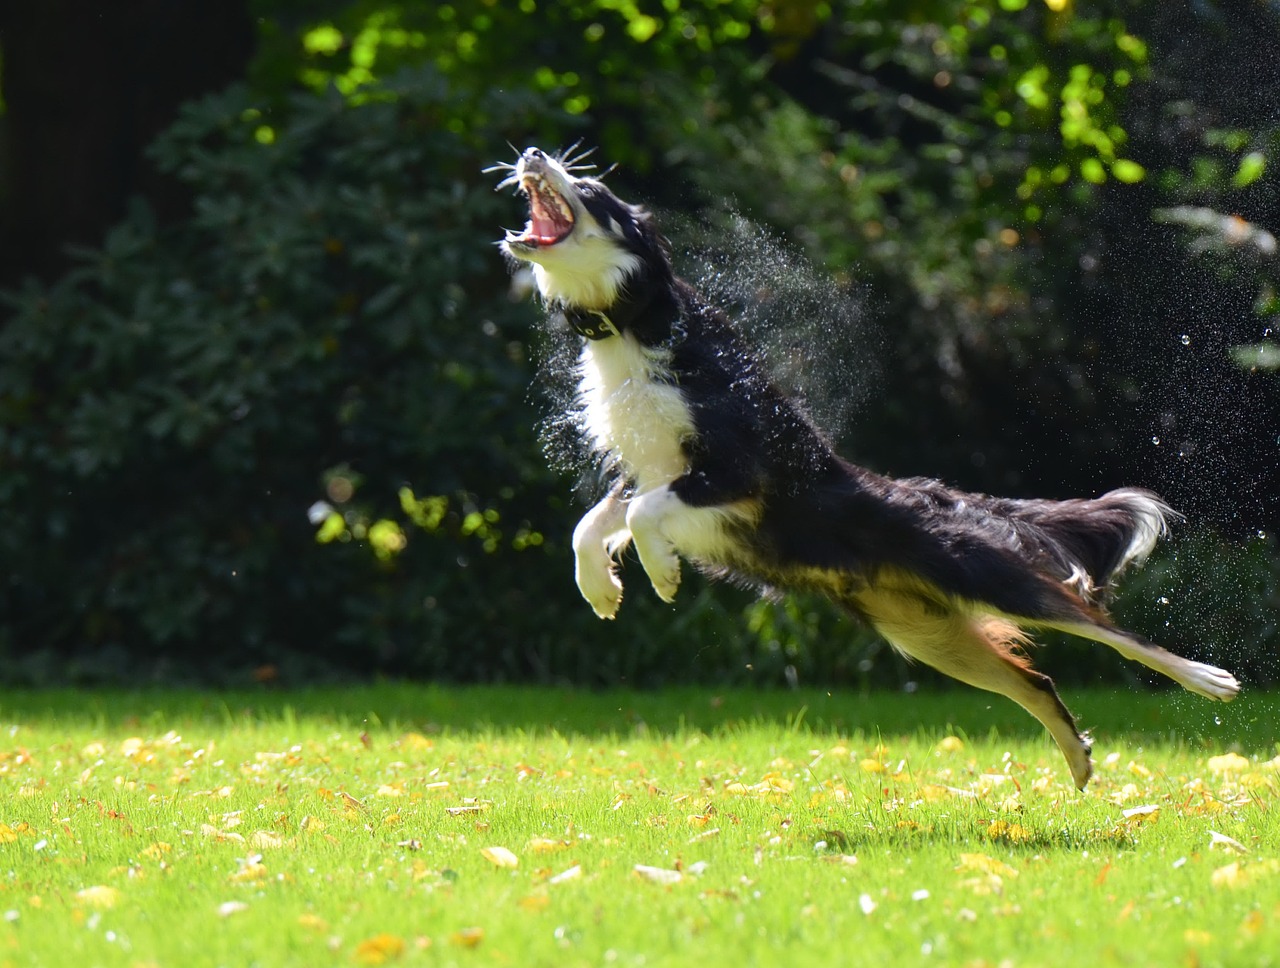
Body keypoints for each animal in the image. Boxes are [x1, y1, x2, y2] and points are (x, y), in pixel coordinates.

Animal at [491, 145, 1239, 793]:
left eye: (590, 189)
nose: (531, 153)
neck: (635, 323)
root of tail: (942, 497)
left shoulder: (739, 469)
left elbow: (645, 515)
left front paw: (663, 573)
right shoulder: (650, 469)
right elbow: (592, 524)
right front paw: (602, 588)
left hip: (988, 580)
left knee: (1108, 629)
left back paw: (1208, 680)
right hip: (931, 638)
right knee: (1037, 682)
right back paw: (1078, 760)